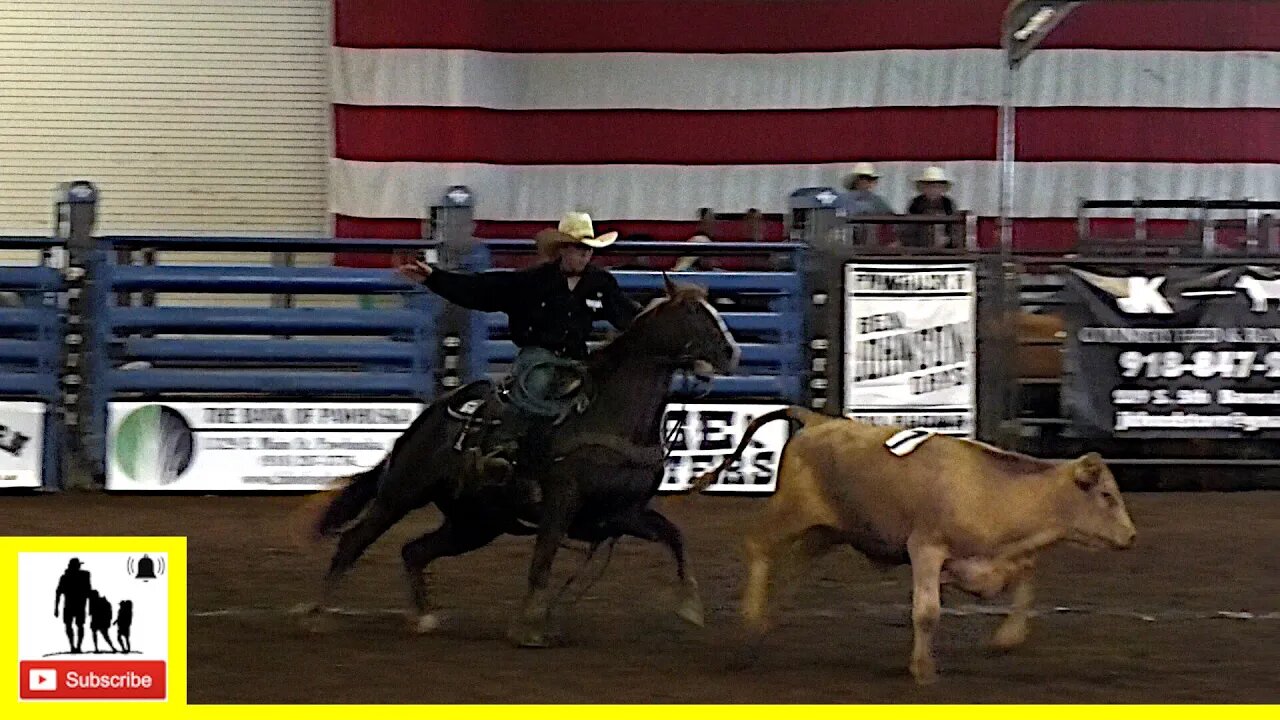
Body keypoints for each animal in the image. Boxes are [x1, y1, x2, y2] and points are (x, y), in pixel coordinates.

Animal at [296, 274, 742, 645]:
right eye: (693, 314)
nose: (732, 352)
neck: (612, 414)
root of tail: (425, 421)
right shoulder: (562, 501)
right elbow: (542, 559)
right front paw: (528, 626)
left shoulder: (622, 512)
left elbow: (674, 535)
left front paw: (691, 607)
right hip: (401, 495)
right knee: (354, 541)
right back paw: (318, 614)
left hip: (475, 524)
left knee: (414, 551)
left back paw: (423, 618)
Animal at [696, 407, 1136, 681]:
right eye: (1106, 496)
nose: (1131, 536)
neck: (997, 492)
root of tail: (819, 420)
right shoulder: (926, 548)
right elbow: (927, 612)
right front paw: (923, 669)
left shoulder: (992, 562)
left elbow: (1026, 581)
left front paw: (1005, 640)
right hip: (792, 510)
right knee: (758, 545)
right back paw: (749, 624)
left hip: (827, 531)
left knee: (793, 570)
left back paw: (763, 628)